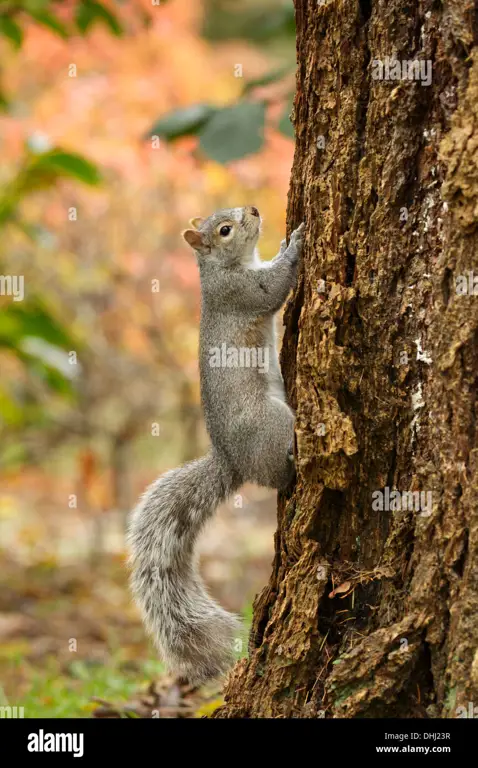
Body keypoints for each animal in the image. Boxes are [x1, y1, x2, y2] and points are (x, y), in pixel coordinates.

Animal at [128, 206, 306, 684]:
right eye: (225, 229)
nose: (256, 210)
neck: (225, 266)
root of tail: (231, 459)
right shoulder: (242, 293)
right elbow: (273, 288)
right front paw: (296, 243)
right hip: (271, 423)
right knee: (279, 475)